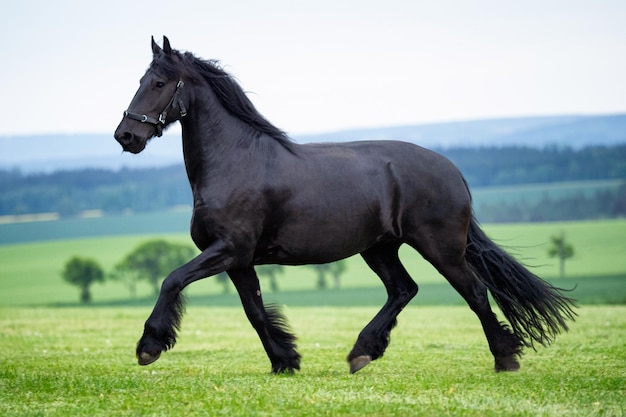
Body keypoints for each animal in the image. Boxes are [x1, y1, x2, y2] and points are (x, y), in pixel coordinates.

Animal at [114, 36, 572, 374]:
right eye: (140, 80)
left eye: (158, 83)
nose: (125, 136)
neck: (236, 161)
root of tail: (452, 171)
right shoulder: (240, 260)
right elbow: (255, 311)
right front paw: (285, 361)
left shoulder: (228, 250)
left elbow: (171, 279)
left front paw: (149, 345)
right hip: (380, 248)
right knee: (404, 289)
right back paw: (362, 352)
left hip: (440, 247)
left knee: (474, 292)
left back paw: (505, 359)